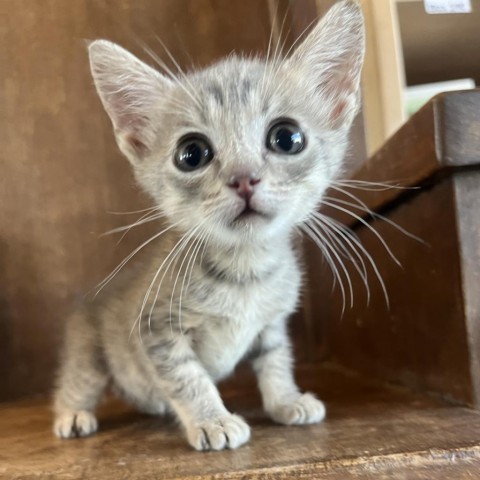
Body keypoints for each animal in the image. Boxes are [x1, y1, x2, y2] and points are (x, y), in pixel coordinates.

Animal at [52, 0, 364, 450]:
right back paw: (72, 413)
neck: (246, 274)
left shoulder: (271, 324)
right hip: (88, 349)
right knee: (79, 380)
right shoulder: (156, 332)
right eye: (192, 153)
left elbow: (276, 362)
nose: (244, 178)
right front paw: (212, 420)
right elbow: (188, 378)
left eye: (287, 137)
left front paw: (286, 401)